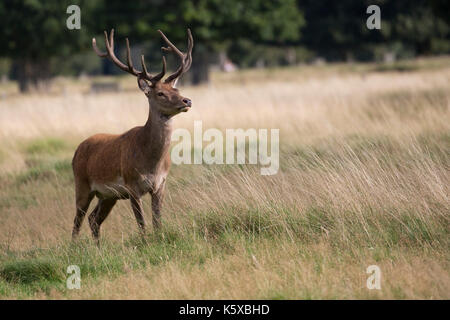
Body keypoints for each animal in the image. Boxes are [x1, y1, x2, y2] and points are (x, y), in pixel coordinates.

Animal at [71, 28, 193, 242]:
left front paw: (159, 239)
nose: (187, 100)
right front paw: (145, 244)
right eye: (160, 93)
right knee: (77, 220)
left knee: (94, 219)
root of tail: (76, 151)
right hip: (82, 183)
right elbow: (142, 224)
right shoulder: (132, 186)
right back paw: (74, 247)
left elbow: (157, 221)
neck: (151, 161)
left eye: (176, 88)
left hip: (108, 195)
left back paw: (98, 247)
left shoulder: (160, 185)